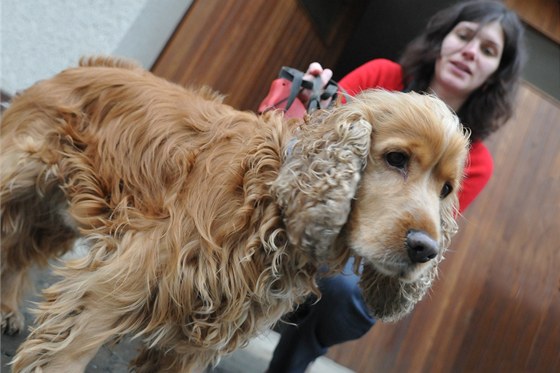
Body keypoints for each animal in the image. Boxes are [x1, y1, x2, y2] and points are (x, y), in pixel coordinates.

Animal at [0, 56, 468, 370]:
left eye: (446, 189)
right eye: (396, 158)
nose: (425, 249)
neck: (272, 197)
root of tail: (84, 66)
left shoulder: (197, 339)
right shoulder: (112, 289)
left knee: (23, 248)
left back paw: (7, 309)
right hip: (20, 174)